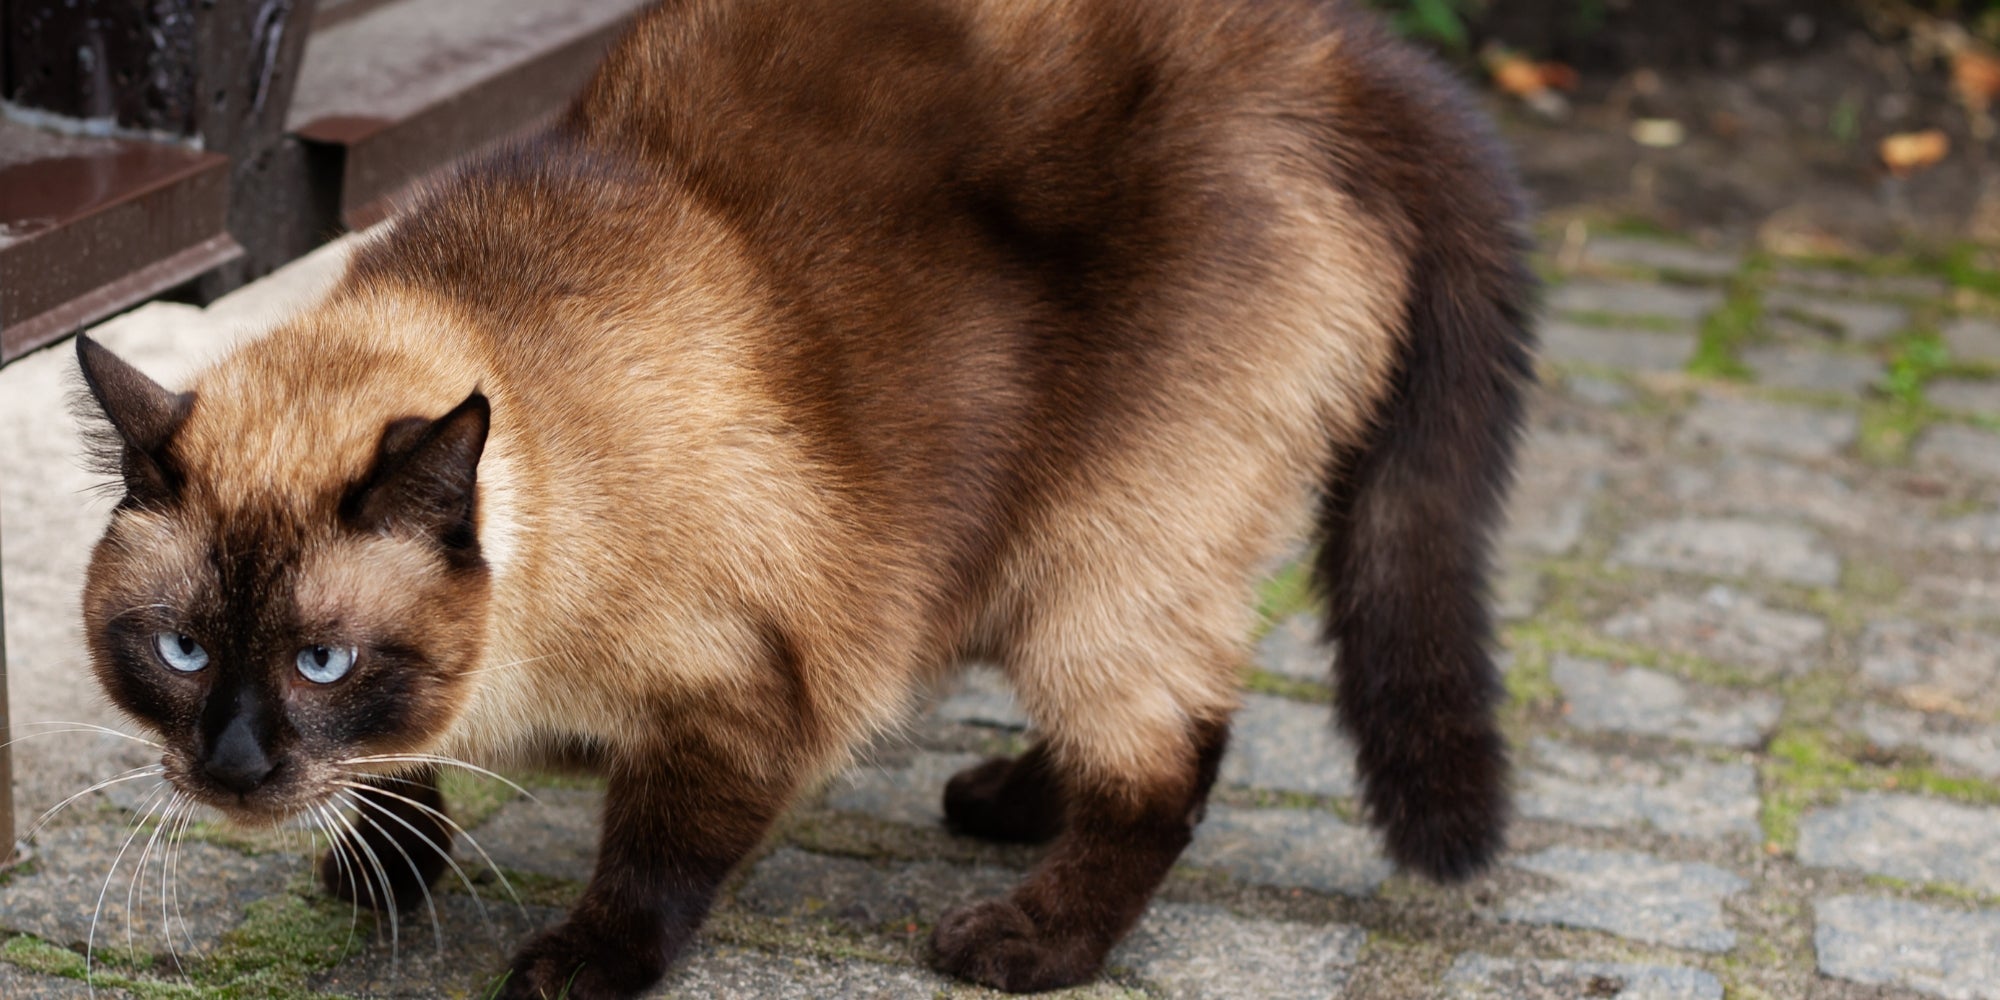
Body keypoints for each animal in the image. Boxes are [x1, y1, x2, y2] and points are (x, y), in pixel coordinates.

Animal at [74, 0, 1528, 992]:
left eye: (320, 661)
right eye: (179, 651)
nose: (233, 767)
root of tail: (1325, 50)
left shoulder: (748, 694)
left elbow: (658, 854)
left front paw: (575, 964)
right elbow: (403, 777)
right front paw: (387, 870)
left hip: (1101, 548)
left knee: (1170, 760)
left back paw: (1024, 940)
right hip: (1060, 561)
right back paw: (1007, 802)